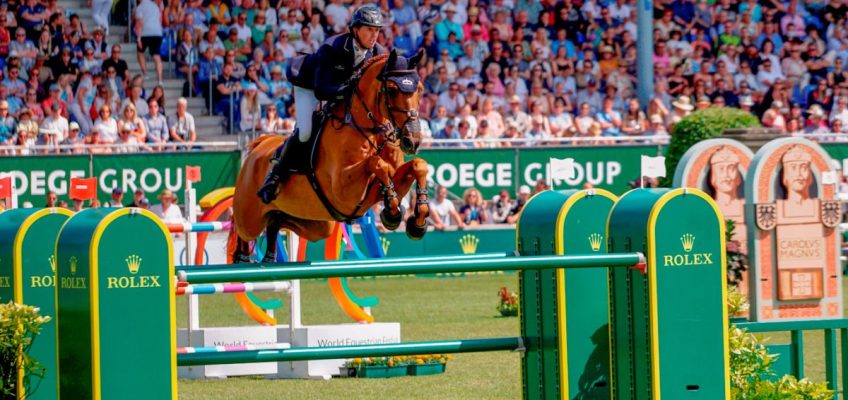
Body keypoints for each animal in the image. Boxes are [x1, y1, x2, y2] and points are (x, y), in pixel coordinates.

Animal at [229, 50, 430, 262]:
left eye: (420, 89)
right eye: (391, 90)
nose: (413, 141)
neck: (370, 130)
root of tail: (258, 145)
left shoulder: (380, 186)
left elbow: (418, 165)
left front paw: (417, 222)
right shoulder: (344, 189)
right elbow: (377, 163)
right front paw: (393, 214)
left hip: (318, 224)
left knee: (277, 220)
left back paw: (268, 256)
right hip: (249, 219)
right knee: (243, 234)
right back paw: (244, 258)